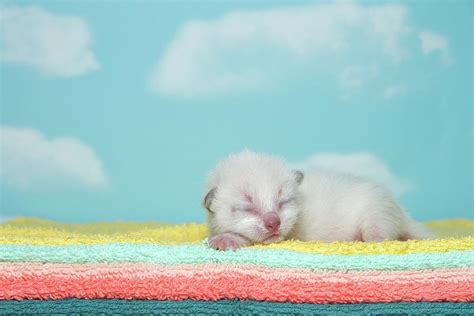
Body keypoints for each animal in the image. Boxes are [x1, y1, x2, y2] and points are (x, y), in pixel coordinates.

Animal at [202, 149, 432, 251]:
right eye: (247, 206)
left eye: (283, 201)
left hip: (377, 212)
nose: (274, 222)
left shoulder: (292, 235)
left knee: (382, 236)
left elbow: (252, 238)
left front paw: (227, 239)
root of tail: (402, 212)